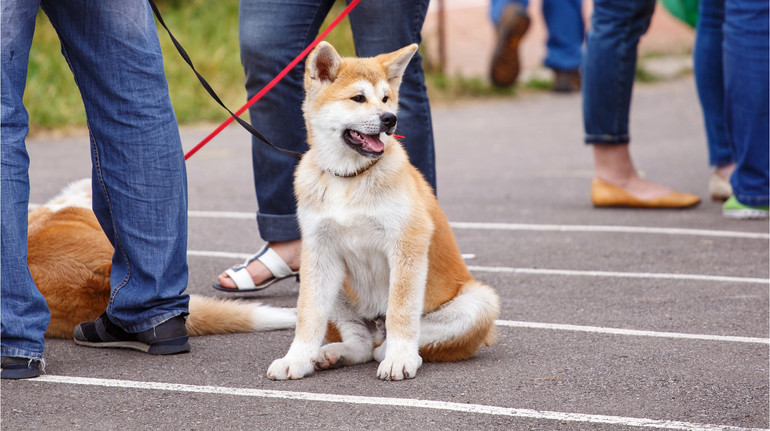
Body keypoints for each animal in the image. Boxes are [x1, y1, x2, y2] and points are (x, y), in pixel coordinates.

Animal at [268, 43, 500, 382]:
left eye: (386, 98)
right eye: (358, 98)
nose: (390, 119)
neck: (349, 178)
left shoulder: (407, 245)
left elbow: (401, 312)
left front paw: (400, 359)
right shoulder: (318, 251)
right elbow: (309, 313)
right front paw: (296, 359)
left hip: (480, 301)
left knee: (395, 337)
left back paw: (394, 352)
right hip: (338, 283)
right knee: (362, 342)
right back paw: (334, 353)